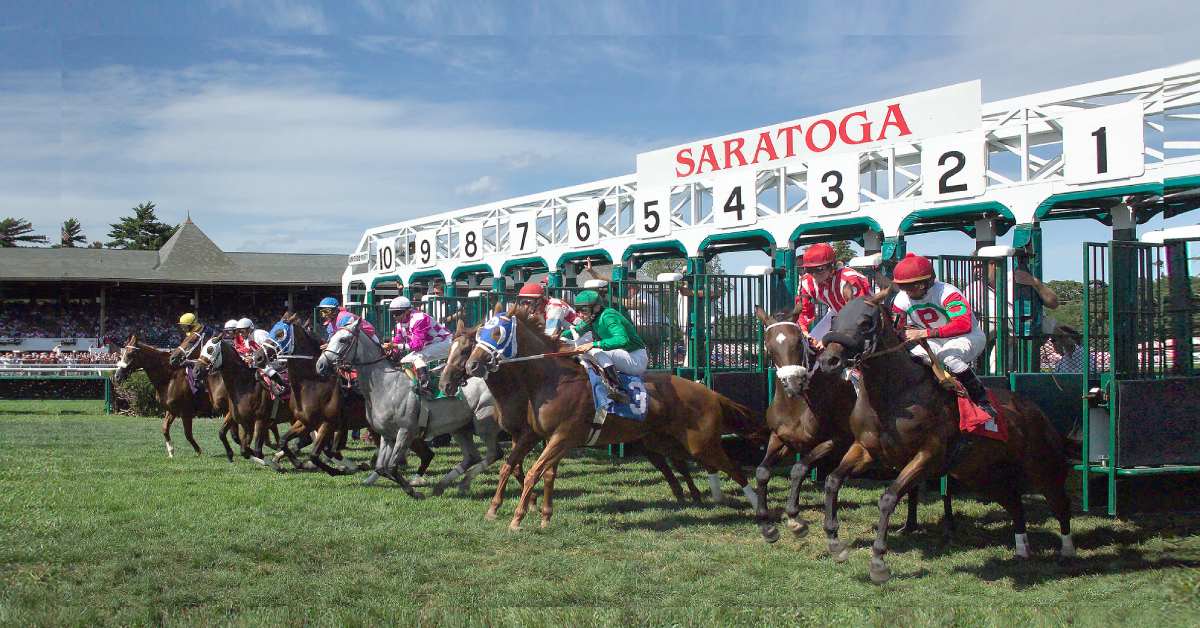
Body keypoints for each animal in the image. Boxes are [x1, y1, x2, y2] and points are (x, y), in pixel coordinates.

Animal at [312, 319, 504, 497]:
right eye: (330, 338)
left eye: (343, 339)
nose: (320, 365)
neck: (386, 385)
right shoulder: (387, 435)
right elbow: (381, 467)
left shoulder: (406, 431)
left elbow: (391, 466)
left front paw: (413, 491)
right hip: (460, 427)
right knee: (472, 457)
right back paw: (442, 485)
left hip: (482, 423)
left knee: (494, 454)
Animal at [446, 307, 763, 533]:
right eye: (479, 336)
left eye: (497, 333)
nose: (472, 366)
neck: (549, 380)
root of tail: (709, 391)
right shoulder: (537, 435)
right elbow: (519, 469)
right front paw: (528, 513)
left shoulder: (562, 436)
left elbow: (534, 472)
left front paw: (518, 518)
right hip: (662, 441)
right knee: (684, 464)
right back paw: (698, 497)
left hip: (701, 442)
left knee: (734, 468)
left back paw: (758, 507)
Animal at [748, 307, 936, 542]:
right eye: (769, 345)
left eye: (798, 342)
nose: (793, 383)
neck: (798, 405)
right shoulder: (780, 438)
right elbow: (762, 471)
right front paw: (766, 523)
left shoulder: (838, 441)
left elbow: (799, 469)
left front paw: (794, 518)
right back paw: (909, 525)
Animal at [811, 292, 1075, 588]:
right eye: (835, 319)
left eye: (865, 322)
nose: (829, 361)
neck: (895, 394)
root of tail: (1036, 410)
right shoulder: (866, 449)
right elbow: (833, 480)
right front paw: (835, 543)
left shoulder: (928, 455)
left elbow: (889, 498)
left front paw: (878, 562)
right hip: (983, 476)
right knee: (1016, 504)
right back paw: (1022, 551)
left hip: (1042, 468)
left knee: (1061, 505)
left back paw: (1066, 553)